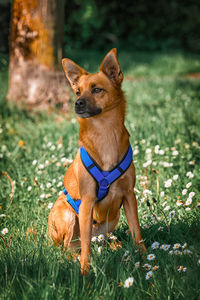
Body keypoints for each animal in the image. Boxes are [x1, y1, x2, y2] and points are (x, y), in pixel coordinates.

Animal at [47, 48, 146, 272]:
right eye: (77, 92)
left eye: (97, 89)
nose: (77, 103)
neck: (105, 133)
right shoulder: (87, 201)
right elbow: (85, 245)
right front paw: (85, 270)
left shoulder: (129, 195)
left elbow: (137, 231)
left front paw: (146, 258)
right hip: (67, 215)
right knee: (72, 246)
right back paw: (73, 259)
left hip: (112, 218)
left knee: (98, 240)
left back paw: (115, 246)